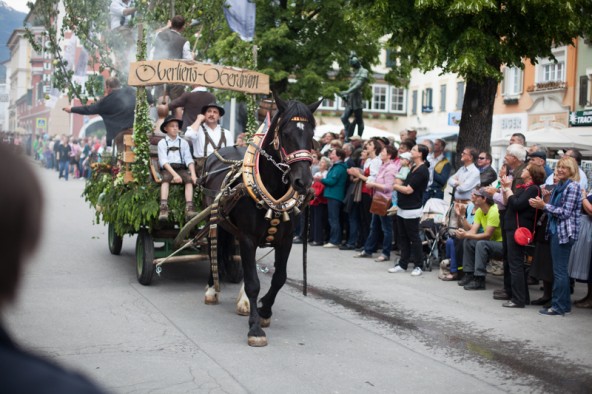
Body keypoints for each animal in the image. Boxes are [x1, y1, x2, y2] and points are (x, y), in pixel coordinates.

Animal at [201, 91, 322, 344]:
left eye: (311, 134)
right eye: (286, 134)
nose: (304, 182)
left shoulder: (285, 240)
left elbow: (279, 278)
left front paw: (264, 309)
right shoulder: (247, 238)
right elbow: (254, 283)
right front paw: (255, 328)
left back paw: (243, 301)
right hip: (213, 220)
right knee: (212, 248)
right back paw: (211, 289)